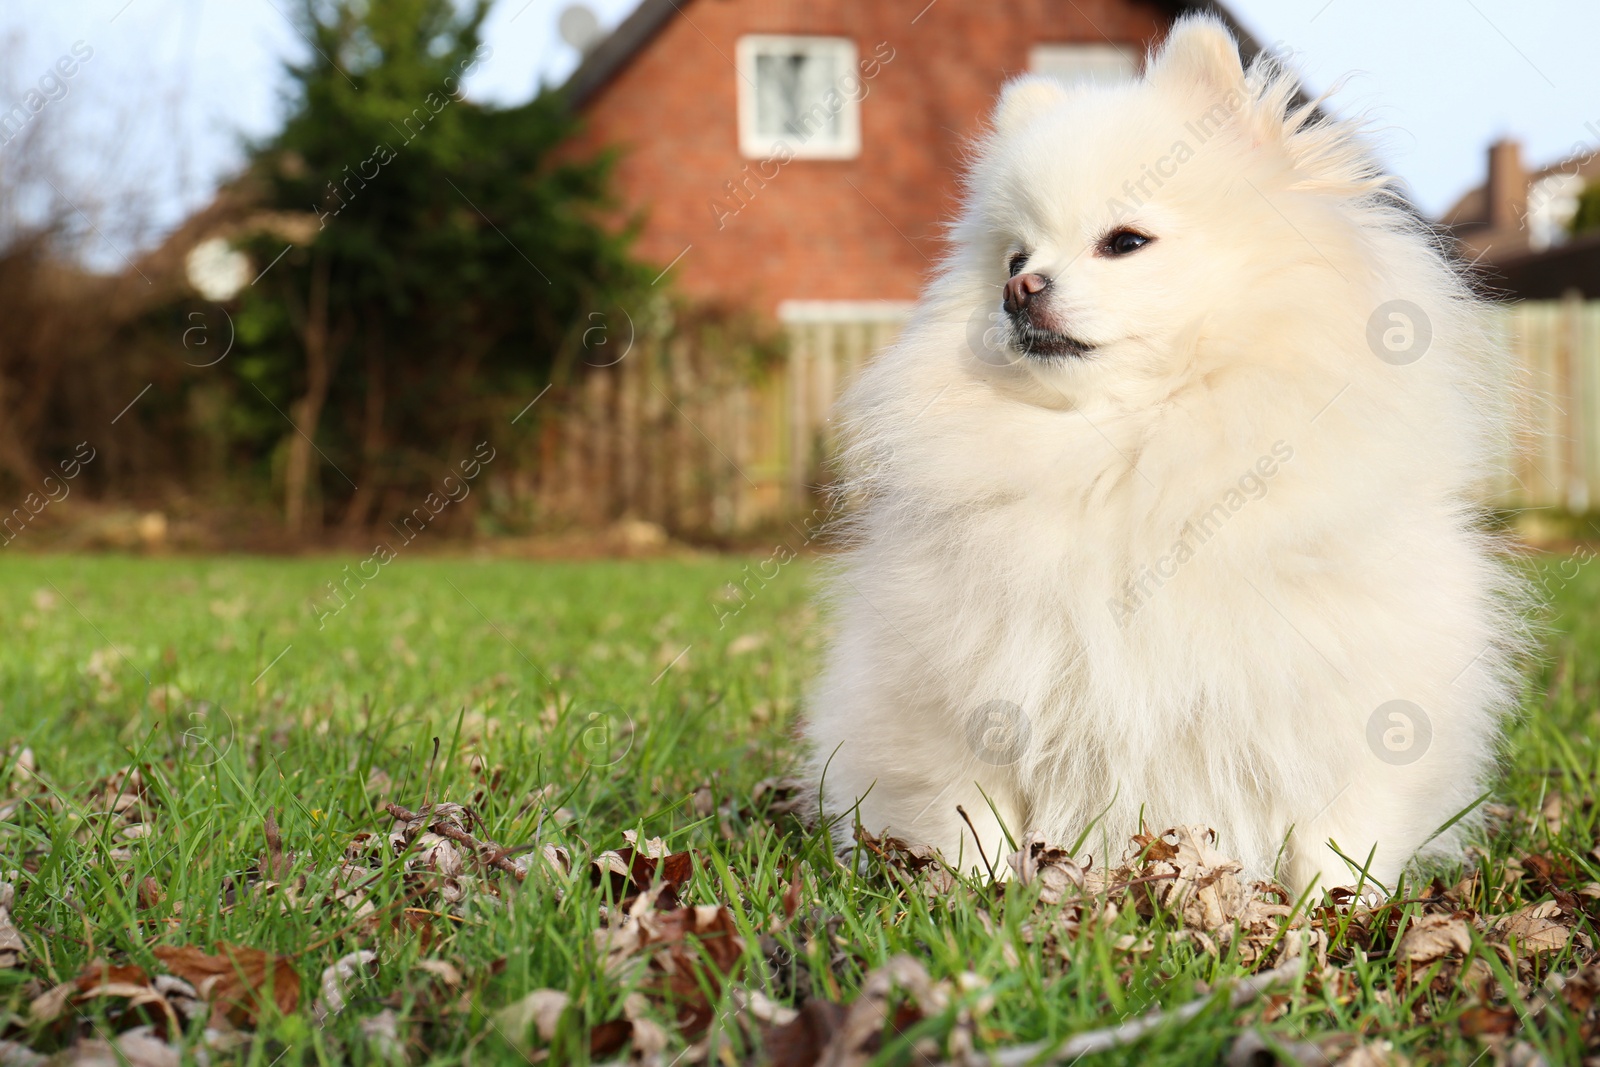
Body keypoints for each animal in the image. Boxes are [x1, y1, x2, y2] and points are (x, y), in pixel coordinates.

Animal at [812, 20, 1523, 895]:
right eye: (1013, 258)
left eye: (1125, 242)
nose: (1020, 290)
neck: (1129, 453)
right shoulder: (958, 695)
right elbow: (970, 818)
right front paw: (979, 901)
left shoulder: (1349, 699)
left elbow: (1335, 837)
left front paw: (1330, 913)